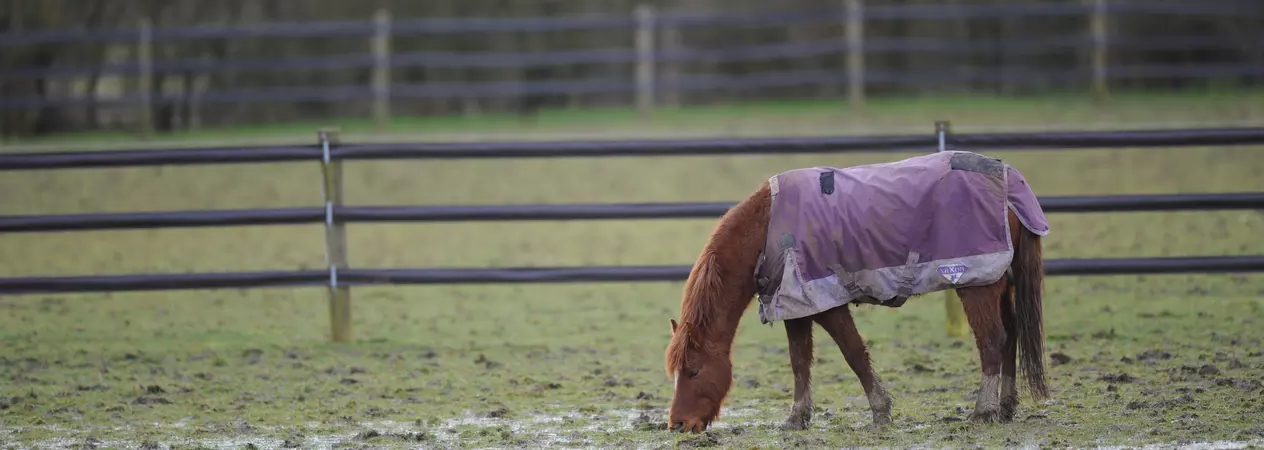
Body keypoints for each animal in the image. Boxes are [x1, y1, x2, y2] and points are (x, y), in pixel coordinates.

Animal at [664, 150, 1051, 433]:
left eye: (694, 371)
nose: (678, 424)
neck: (768, 229)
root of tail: (1009, 180)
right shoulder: (797, 306)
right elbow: (799, 361)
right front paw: (797, 418)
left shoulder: (828, 304)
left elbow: (854, 354)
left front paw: (880, 411)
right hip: (1001, 284)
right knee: (1011, 336)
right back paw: (1005, 407)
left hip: (976, 285)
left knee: (992, 341)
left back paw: (983, 411)